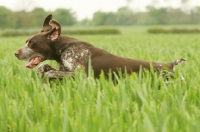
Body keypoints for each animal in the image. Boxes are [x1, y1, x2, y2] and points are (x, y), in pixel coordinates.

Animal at [14, 14, 186, 80]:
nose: (15, 53)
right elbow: (43, 67)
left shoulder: (82, 75)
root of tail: (170, 65)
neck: (65, 48)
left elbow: (50, 73)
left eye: (32, 43)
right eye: (26, 41)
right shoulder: (63, 69)